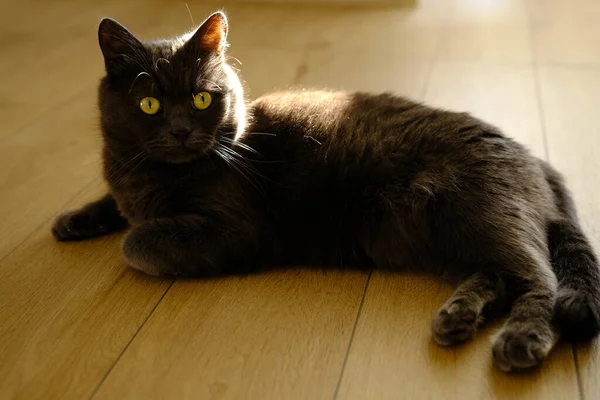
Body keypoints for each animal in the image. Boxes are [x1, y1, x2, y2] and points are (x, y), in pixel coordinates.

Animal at [51, 13, 600, 376]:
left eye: (202, 98)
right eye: (149, 105)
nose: (183, 132)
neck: (156, 176)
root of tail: (537, 160)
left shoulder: (235, 226)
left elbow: (137, 242)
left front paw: (133, 232)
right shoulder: (125, 176)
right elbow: (114, 203)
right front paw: (73, 219)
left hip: (478, 211)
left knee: (540, 277)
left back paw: (521, 339)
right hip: (447, 235)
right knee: (499, 274)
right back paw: (458, 317)